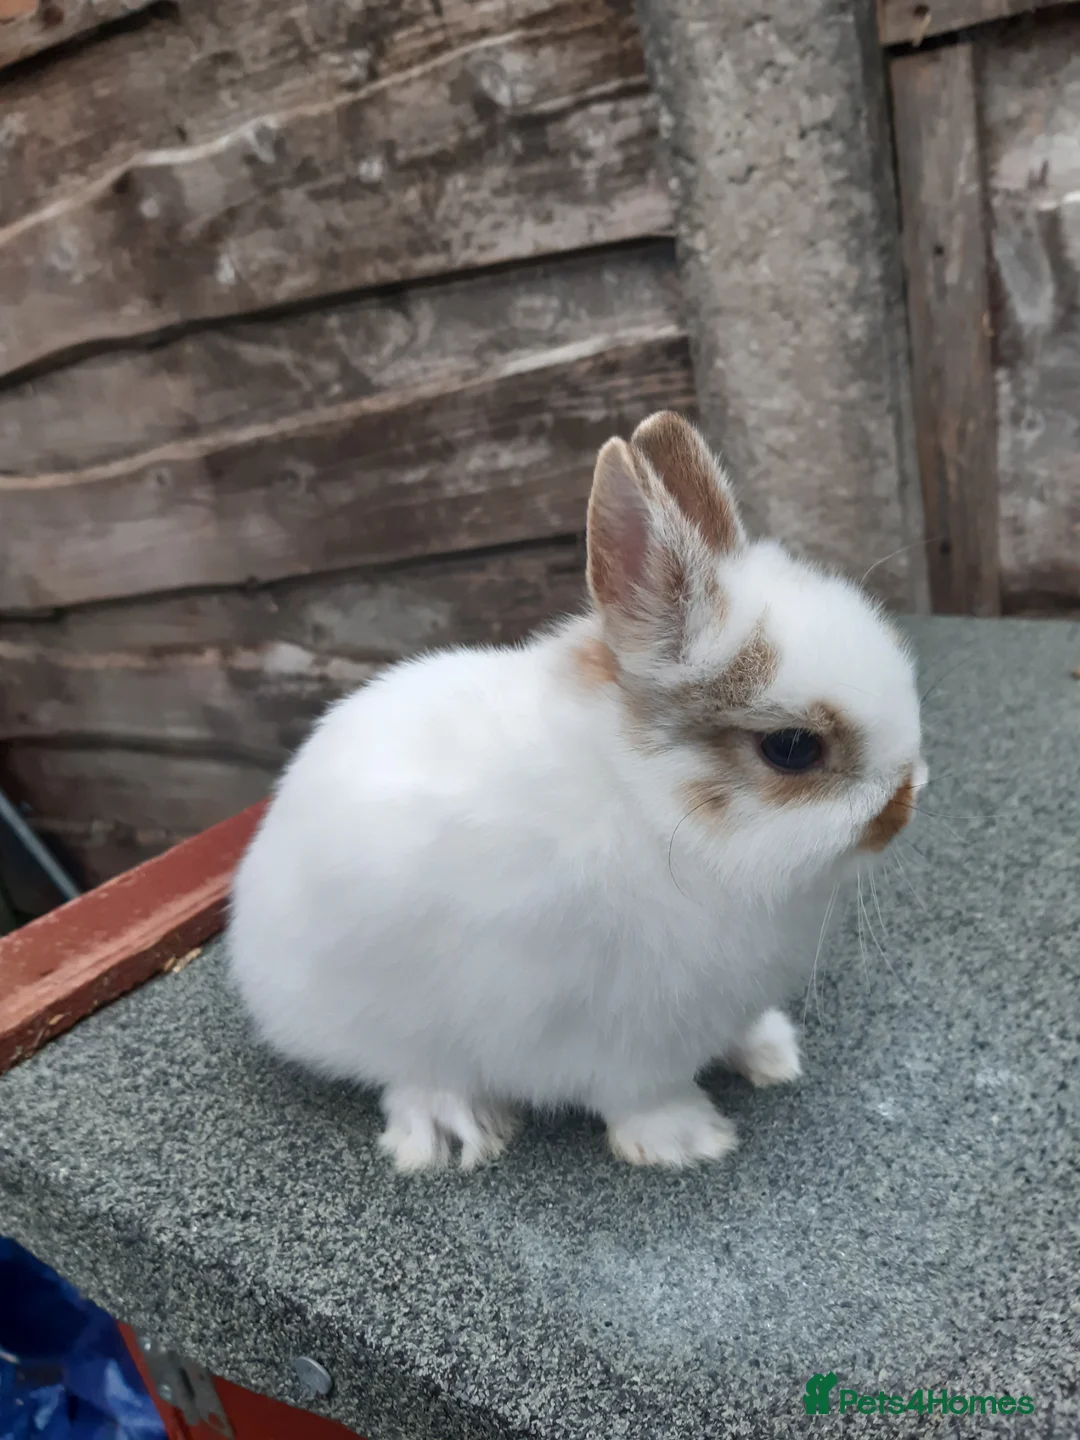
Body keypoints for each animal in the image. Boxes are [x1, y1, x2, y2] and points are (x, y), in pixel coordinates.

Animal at [228, 411, 926, 1171]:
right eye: (793, 748)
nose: (905, 804)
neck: (649, 803)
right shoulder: (613, 1034)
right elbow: (640, 1093)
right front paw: (689, 1140)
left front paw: (772, 1054)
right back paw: (451, 1127)